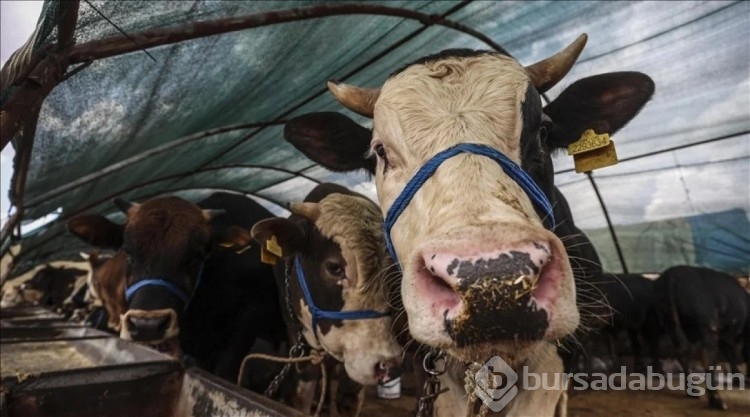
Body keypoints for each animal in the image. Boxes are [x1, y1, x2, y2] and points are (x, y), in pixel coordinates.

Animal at [652, 264, 750, 408]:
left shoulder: (726, 337)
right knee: (707, 358)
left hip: (669, 322)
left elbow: (730, 355)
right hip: (708, 326)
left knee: (683, 352)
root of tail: (672, 276)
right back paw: (717, 401)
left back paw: (693, 392)